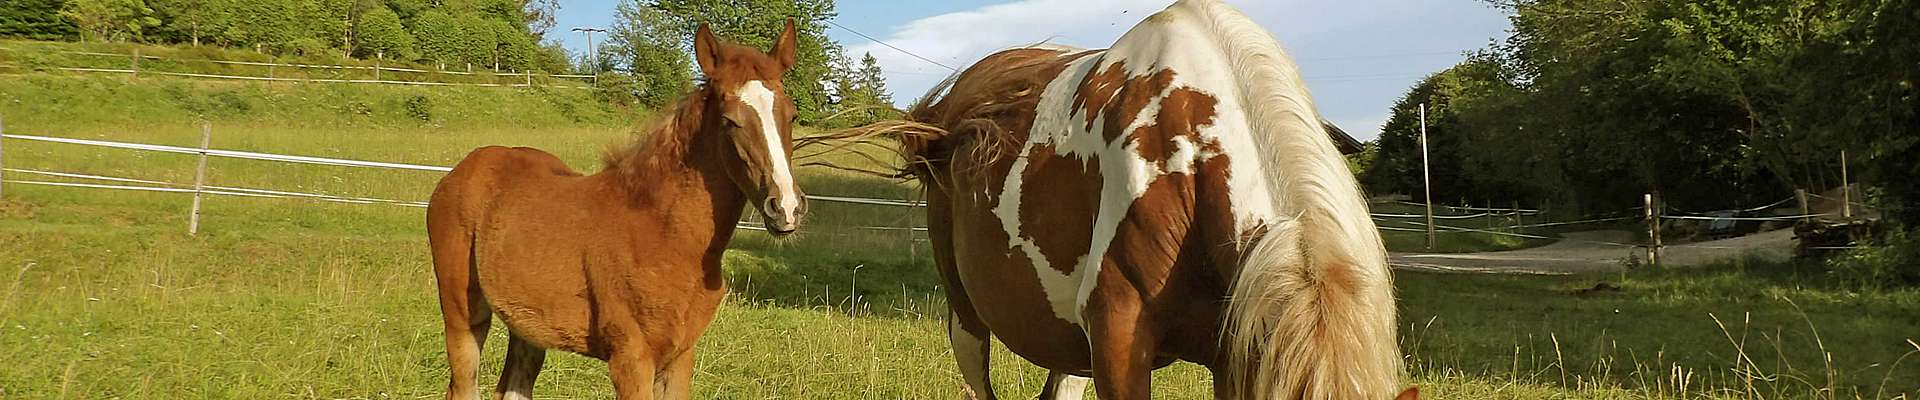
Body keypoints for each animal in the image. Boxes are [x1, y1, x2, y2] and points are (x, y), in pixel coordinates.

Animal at [424, 21, 806, 400]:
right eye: (730, 120)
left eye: (792, 115)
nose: (785, 207)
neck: (666, 236)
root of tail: (461, 169)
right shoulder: (630, 359)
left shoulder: (681, 356)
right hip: (462, 314)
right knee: (462, 385)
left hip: (527, 323)